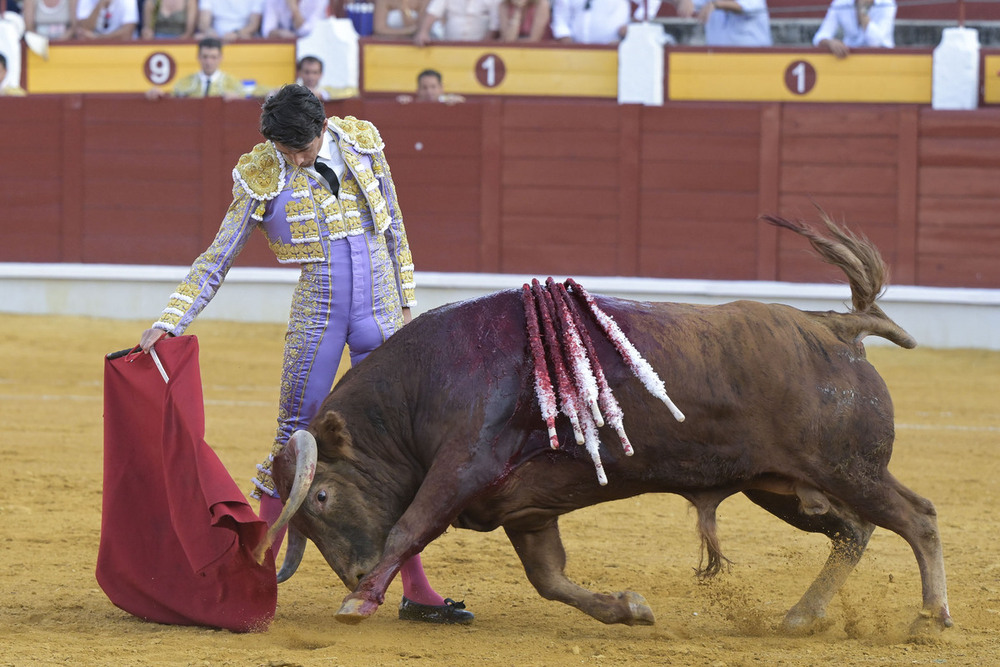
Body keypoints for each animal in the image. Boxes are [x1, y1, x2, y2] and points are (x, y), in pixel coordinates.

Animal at [258, 215, 952, 636]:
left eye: (321, 497)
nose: (356, 573)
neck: (424, 385)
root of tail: (836, 328)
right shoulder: (524, 508)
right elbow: (549, 578)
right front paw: (629, 609)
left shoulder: (464, 466)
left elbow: (409, 527)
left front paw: (357, 603)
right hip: (783, 487)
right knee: (853, 532)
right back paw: (799, 618)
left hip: (848, 469)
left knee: (915, 517)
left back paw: (932, 616)